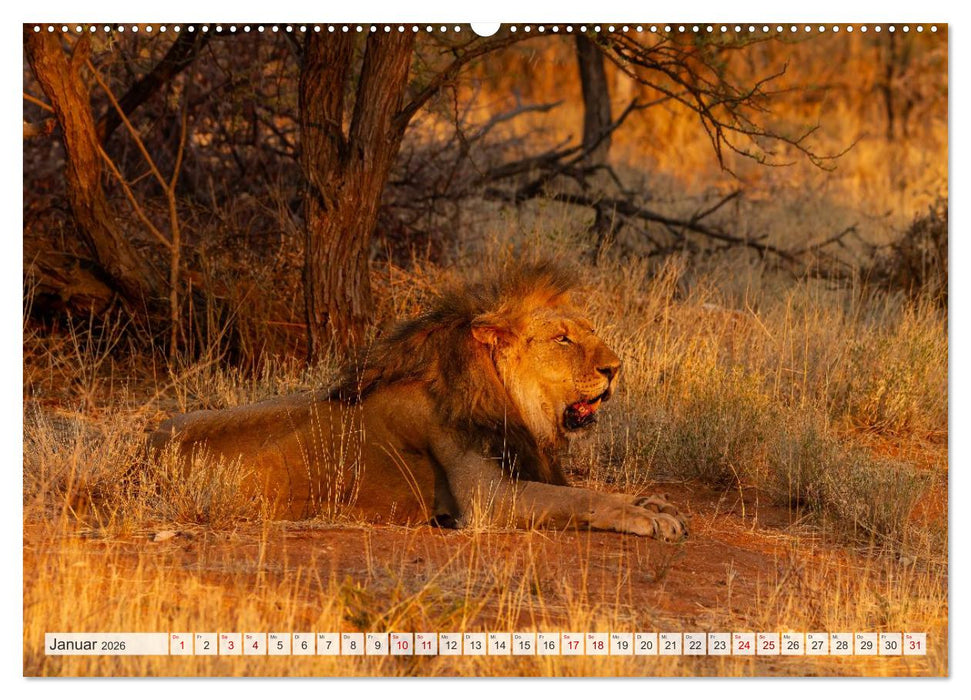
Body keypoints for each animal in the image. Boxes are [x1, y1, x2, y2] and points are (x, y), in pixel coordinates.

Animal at [148, 263, 688, 540]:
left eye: (590, 331)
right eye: (562, 338)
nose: (615, 368)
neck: (510, 399)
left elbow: (588, 489)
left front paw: (651, 501)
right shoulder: (488, 500)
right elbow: (580, 497)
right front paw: (649, 518)